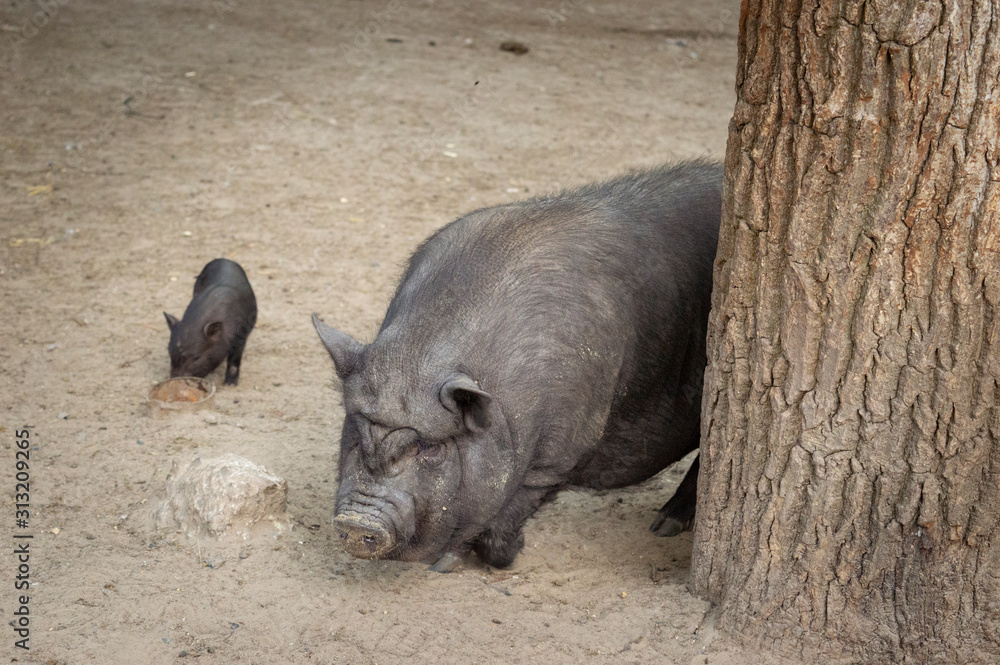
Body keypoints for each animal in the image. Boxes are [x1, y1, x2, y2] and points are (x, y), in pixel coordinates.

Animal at [313, 159, 721, 572]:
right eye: (357, 428)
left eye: (429, 447)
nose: (357, 522)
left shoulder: (558, 457)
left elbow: (508, 510)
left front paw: (482, 559)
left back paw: (663, 526)